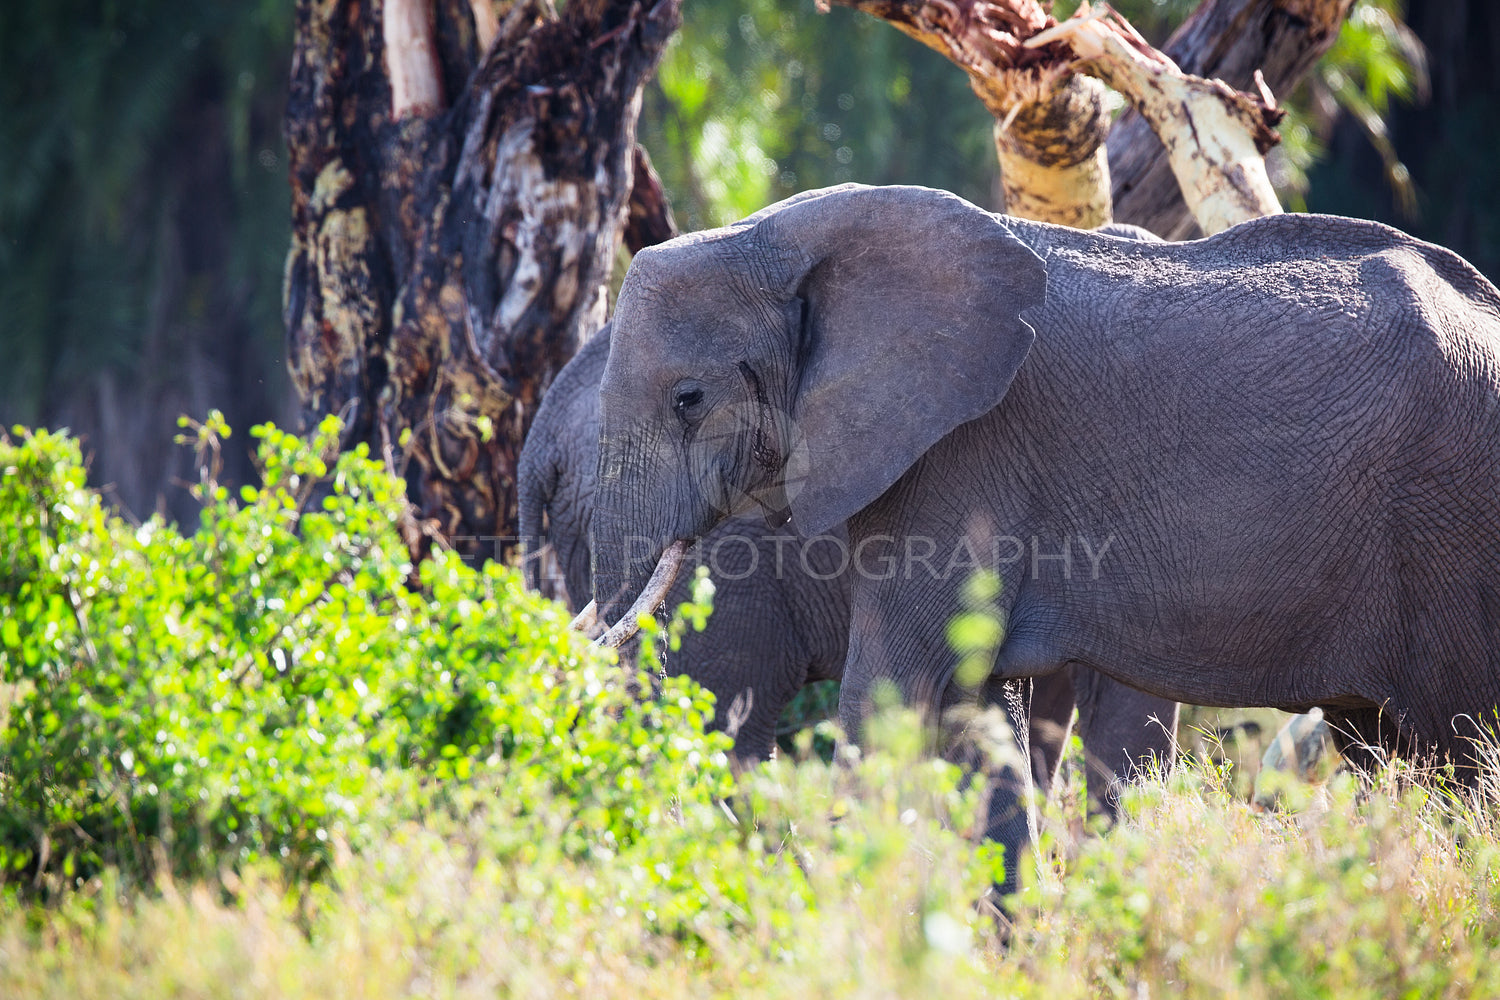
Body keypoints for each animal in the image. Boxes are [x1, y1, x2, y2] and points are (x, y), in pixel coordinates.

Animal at [591, 183, 1500, 893]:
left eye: (688, 399)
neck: (788, 234)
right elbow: (975, 711)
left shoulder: (960, 458)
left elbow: (892, 693)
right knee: (1386, 752)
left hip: (1453, 525)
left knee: (1463, 752)